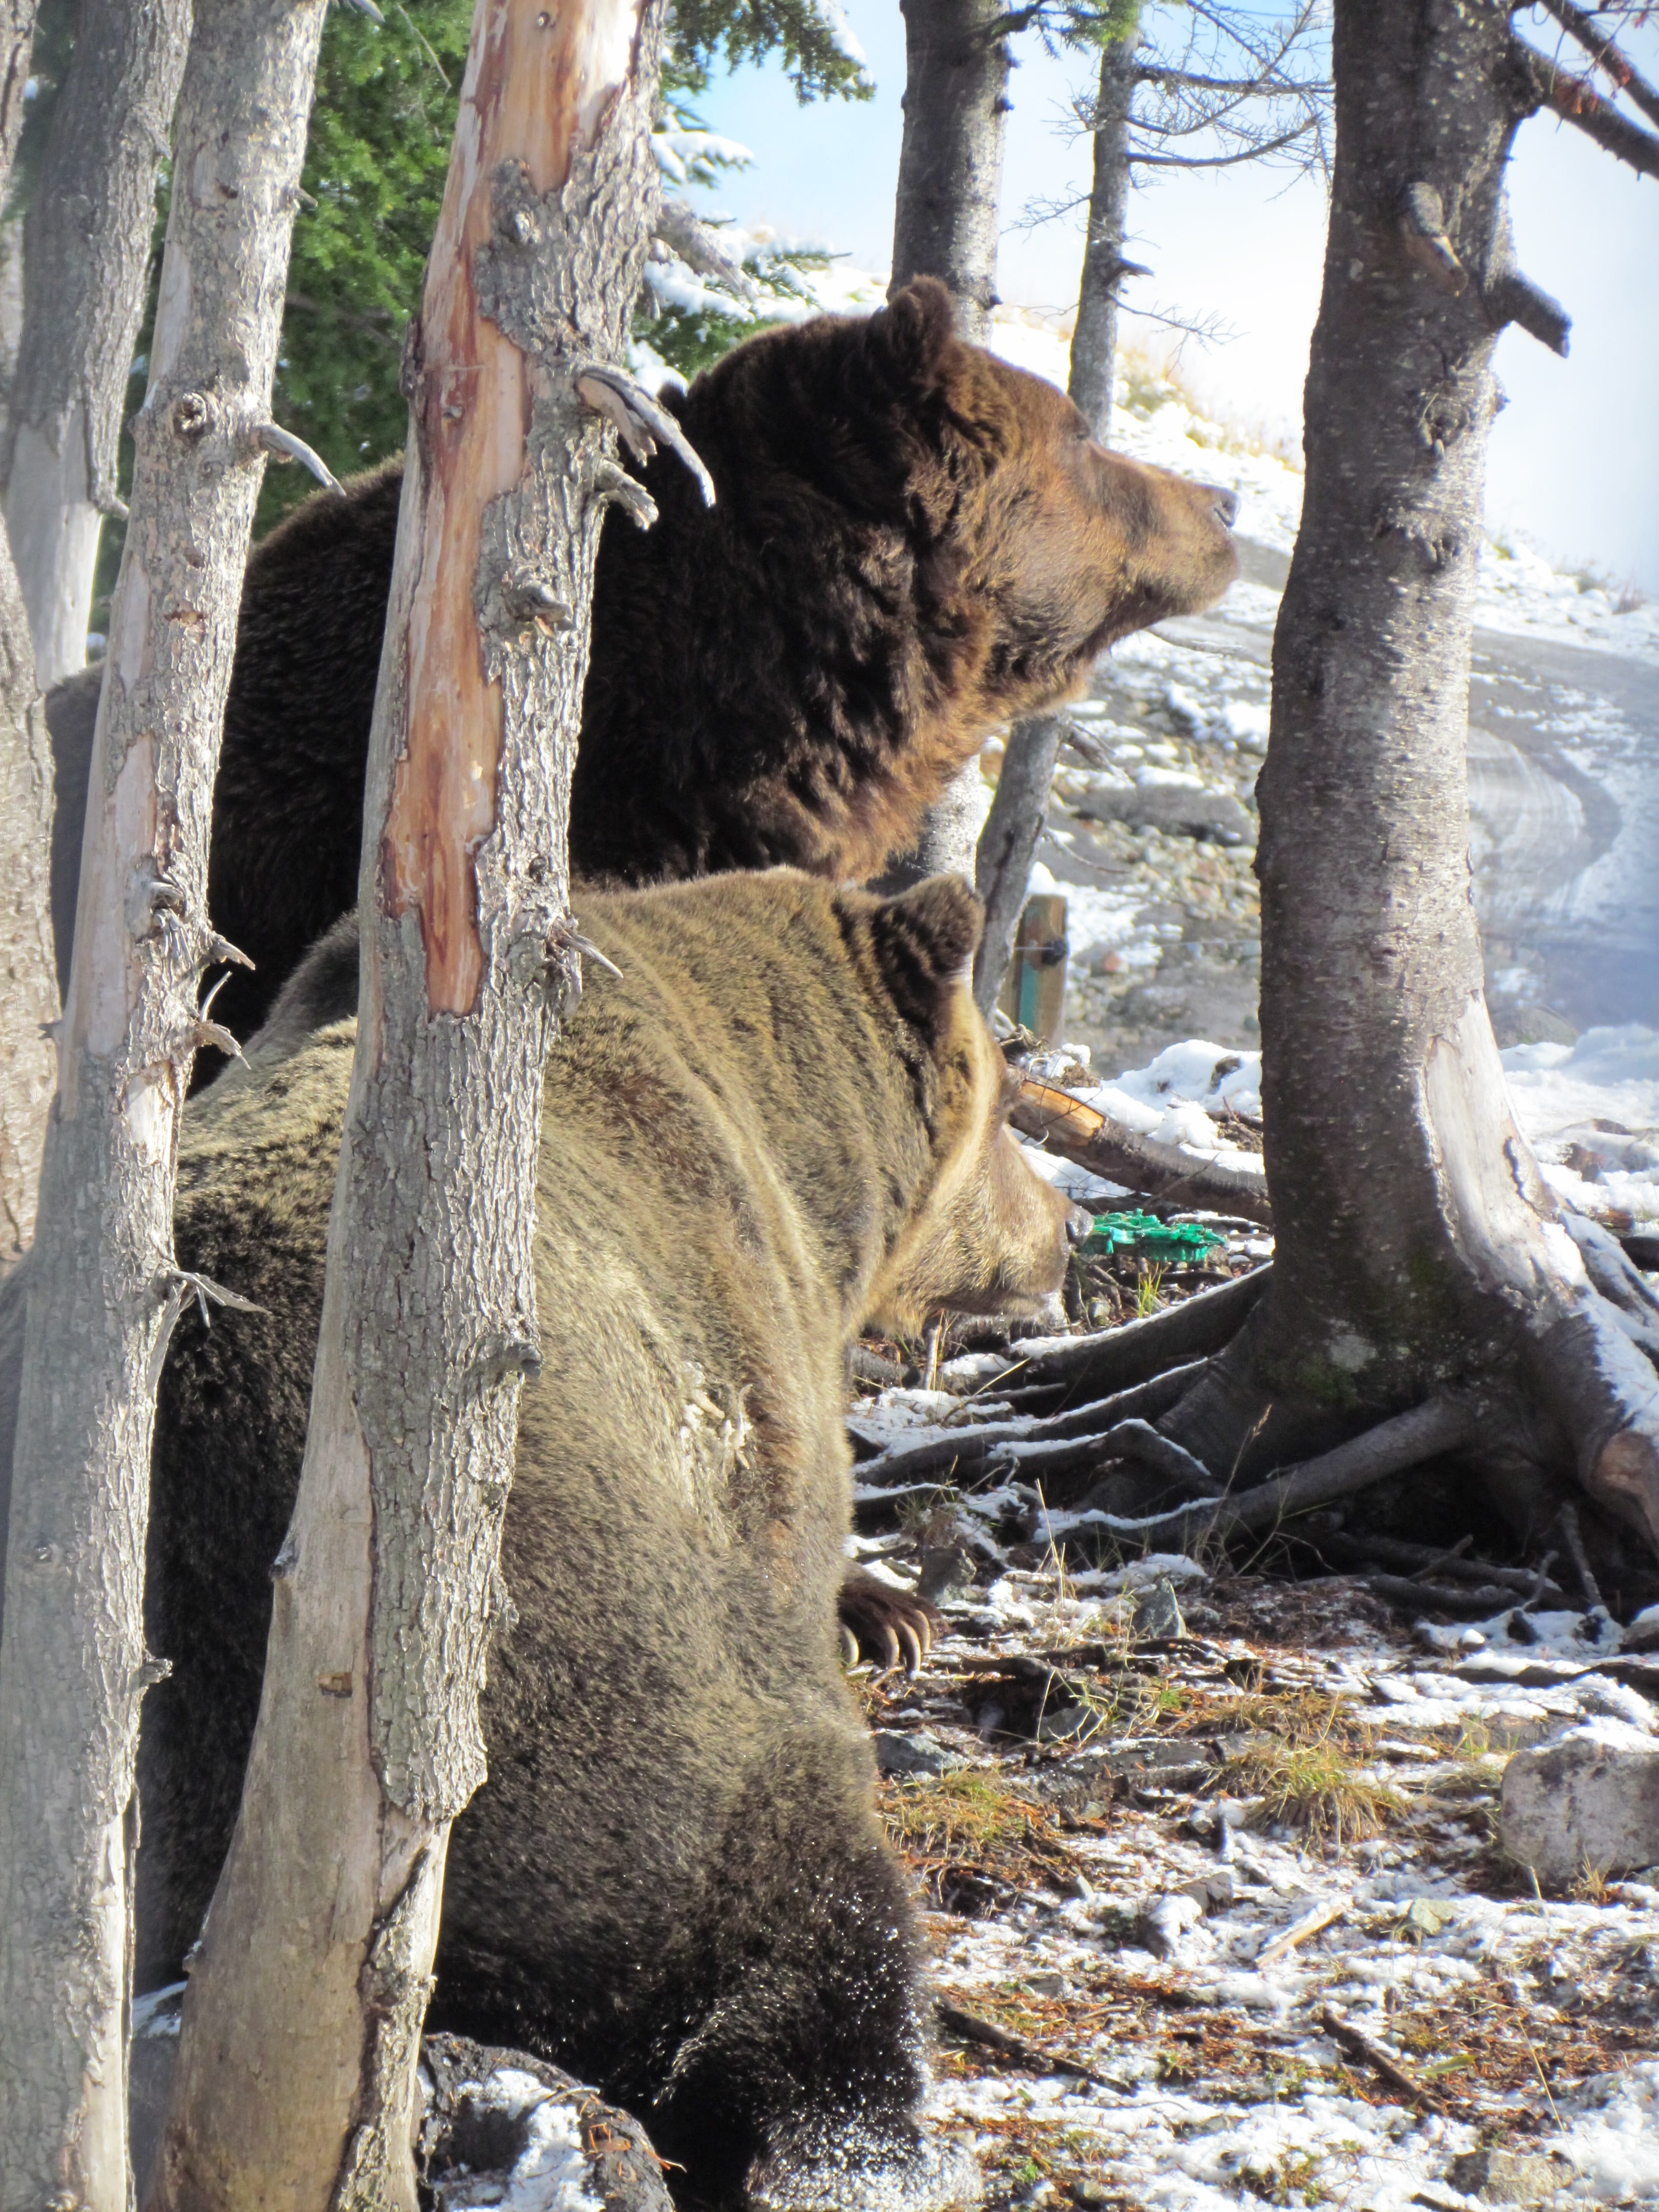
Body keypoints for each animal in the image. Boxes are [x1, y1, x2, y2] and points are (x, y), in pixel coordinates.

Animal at [124, 870, 1090, 2209]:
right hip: (573, 1686)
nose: (1068, 1225)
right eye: (1006, 1109)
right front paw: (886, 1607)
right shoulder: (741, 1387)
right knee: (792, 1911)